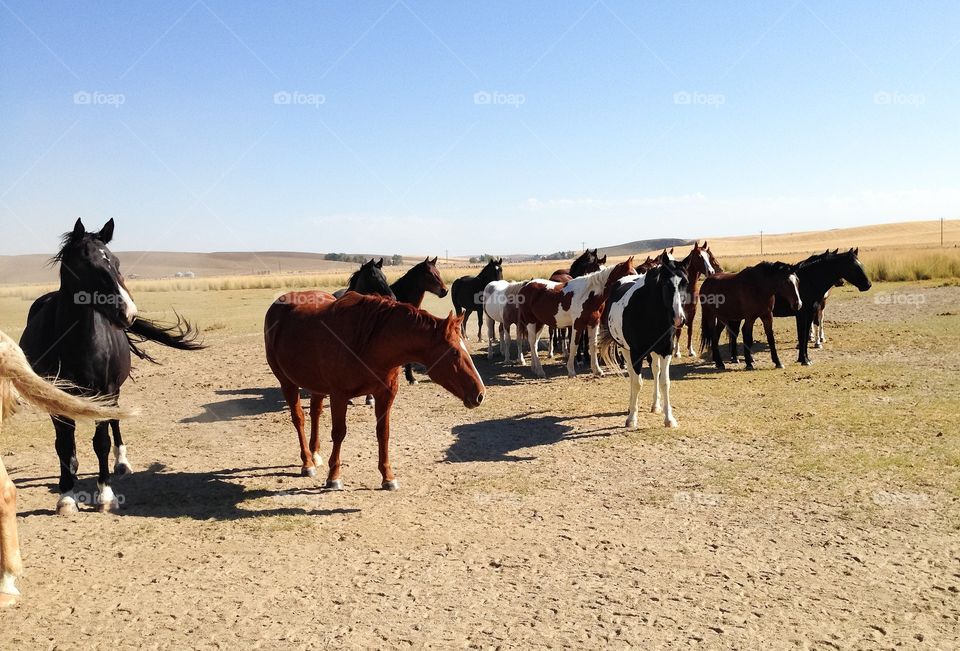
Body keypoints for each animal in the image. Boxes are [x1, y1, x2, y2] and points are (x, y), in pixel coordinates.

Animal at [19, 219, 203, 515]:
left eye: (115, 261)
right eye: (86, 263)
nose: (127, 312)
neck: (74, 341)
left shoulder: (105, 391)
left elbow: (101, 443)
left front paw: (106, 495)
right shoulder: (55, 395)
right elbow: (64, 446)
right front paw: (66, 496)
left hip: (114, 391)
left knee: (115, 423)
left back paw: (122, 463)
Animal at [264, 292, 485, 486]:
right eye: (454, 352)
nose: (480, 394)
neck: (370, 343)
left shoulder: (386, 394)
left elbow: (383, 432)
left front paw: (388, 477)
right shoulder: (339, 396)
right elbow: (339, 433)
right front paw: (334, 476)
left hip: (316, 385)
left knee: (315, 413)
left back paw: (315, 454)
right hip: (287, 382)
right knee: (299, 418)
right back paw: (307, 462)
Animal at [600, 253, 688, 428]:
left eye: (685, 283)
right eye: (666, 283)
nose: (679, 319)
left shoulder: (666, 350)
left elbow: (665, 382)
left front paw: (669, 419)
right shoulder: (636, 353)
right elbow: (637, 382)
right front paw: (632, 418)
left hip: (653, 351)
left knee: (655, 371)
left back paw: (655, 405)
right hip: (625, 350)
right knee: (632, 376)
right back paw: (630, 408)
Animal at [726, 248, 871, 366]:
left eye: (861, 265)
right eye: (854, 267)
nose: (868, 285)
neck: (809, 281)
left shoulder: (810, 313)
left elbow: (806, 335)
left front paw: (805, 358)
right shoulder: (801, 314)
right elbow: (802, 336)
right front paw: (804, 359)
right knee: (735, 333)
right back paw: (735, 358)